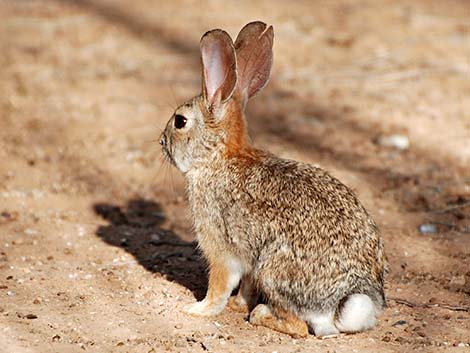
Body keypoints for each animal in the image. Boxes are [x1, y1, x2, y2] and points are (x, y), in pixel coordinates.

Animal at [160, 20, 388, 336]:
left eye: (180, 122)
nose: (161, 141)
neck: (217, 157)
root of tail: (350, 299)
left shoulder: (219, 246)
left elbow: (219, 285)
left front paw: (197, 309)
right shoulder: (247, 261)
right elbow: (245, 285)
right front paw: (237, 305)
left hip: (273, 269)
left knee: (299, 326)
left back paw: (261, 315)